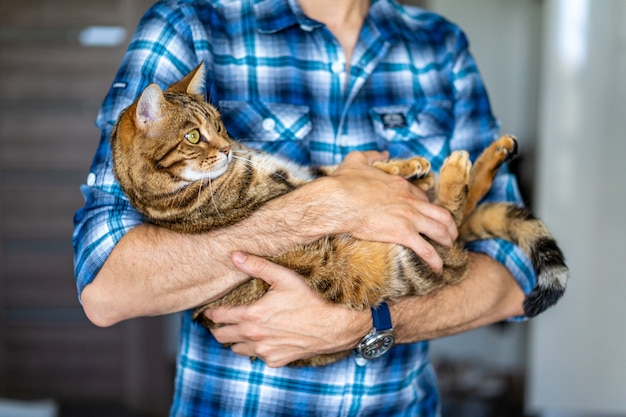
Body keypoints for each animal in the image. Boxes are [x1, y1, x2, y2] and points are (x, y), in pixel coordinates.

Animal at [111, 61, 564, 364]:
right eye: (192, 136)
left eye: (220, 125)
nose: (226, 148)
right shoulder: (287, 190)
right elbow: (334, 182)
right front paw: (413, 174)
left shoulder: (304, 172)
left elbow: (339, 169)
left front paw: (406, 168)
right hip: (411, 265)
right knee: (451, 230)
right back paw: (457, 170)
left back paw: (490, 154)